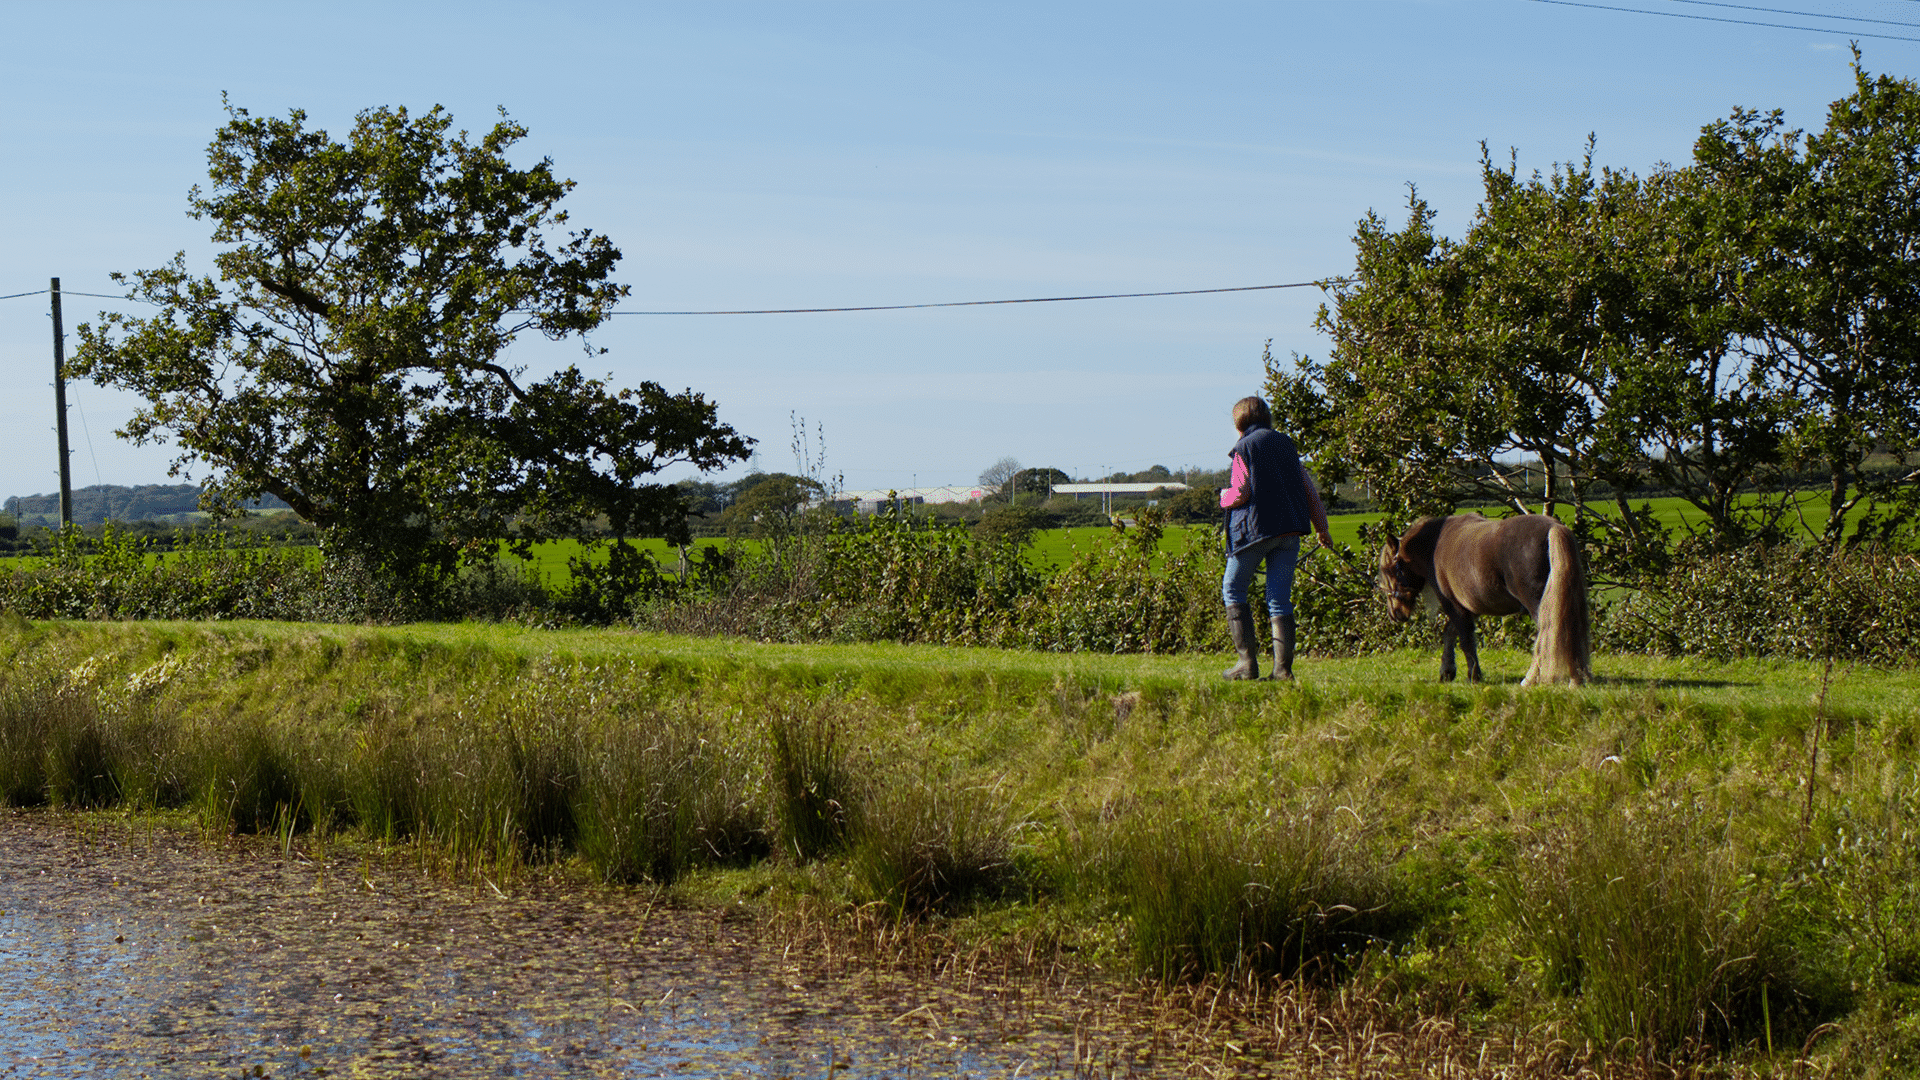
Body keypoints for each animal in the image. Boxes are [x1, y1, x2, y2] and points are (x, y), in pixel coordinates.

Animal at [1382, 511, 1589, 680]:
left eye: (1390, 570)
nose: (1395, 614)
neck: (1434, 546)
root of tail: (1553, 528)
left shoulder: (1454, 606)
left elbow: (1465, 640)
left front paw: (1474, 675)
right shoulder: (1469, 607)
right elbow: (1451, 632)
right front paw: (1447, 670)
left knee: (1546, 635)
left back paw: (1530, 679)